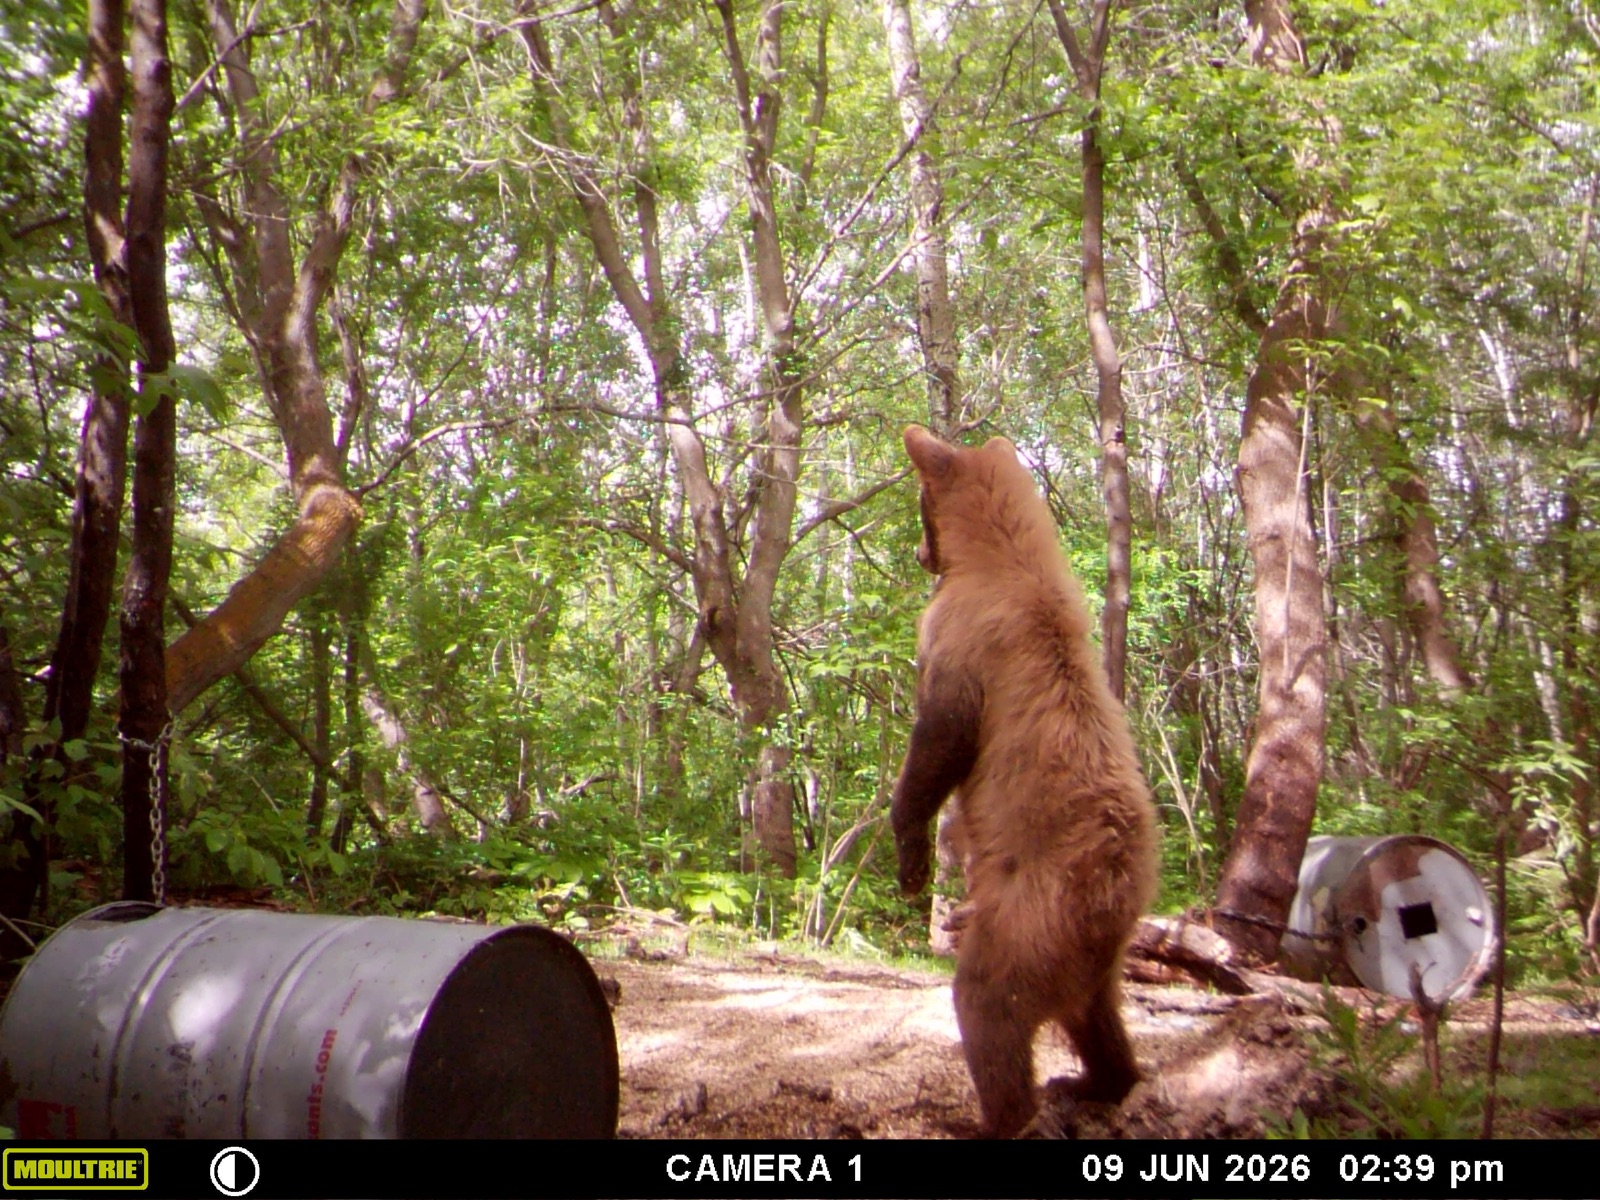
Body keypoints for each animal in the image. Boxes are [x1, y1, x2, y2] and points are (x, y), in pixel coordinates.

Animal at [891, 424, 1158, 1138]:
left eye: (920, 506)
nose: (921, 552)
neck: (1010, 561)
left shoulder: (959, 638)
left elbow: (941, 739)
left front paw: (911, 856)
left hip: (1028, 921)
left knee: (990, 1008)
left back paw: (996, 1116)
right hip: (1090, 962)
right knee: (1099, 1021)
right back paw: (1098, 1081)